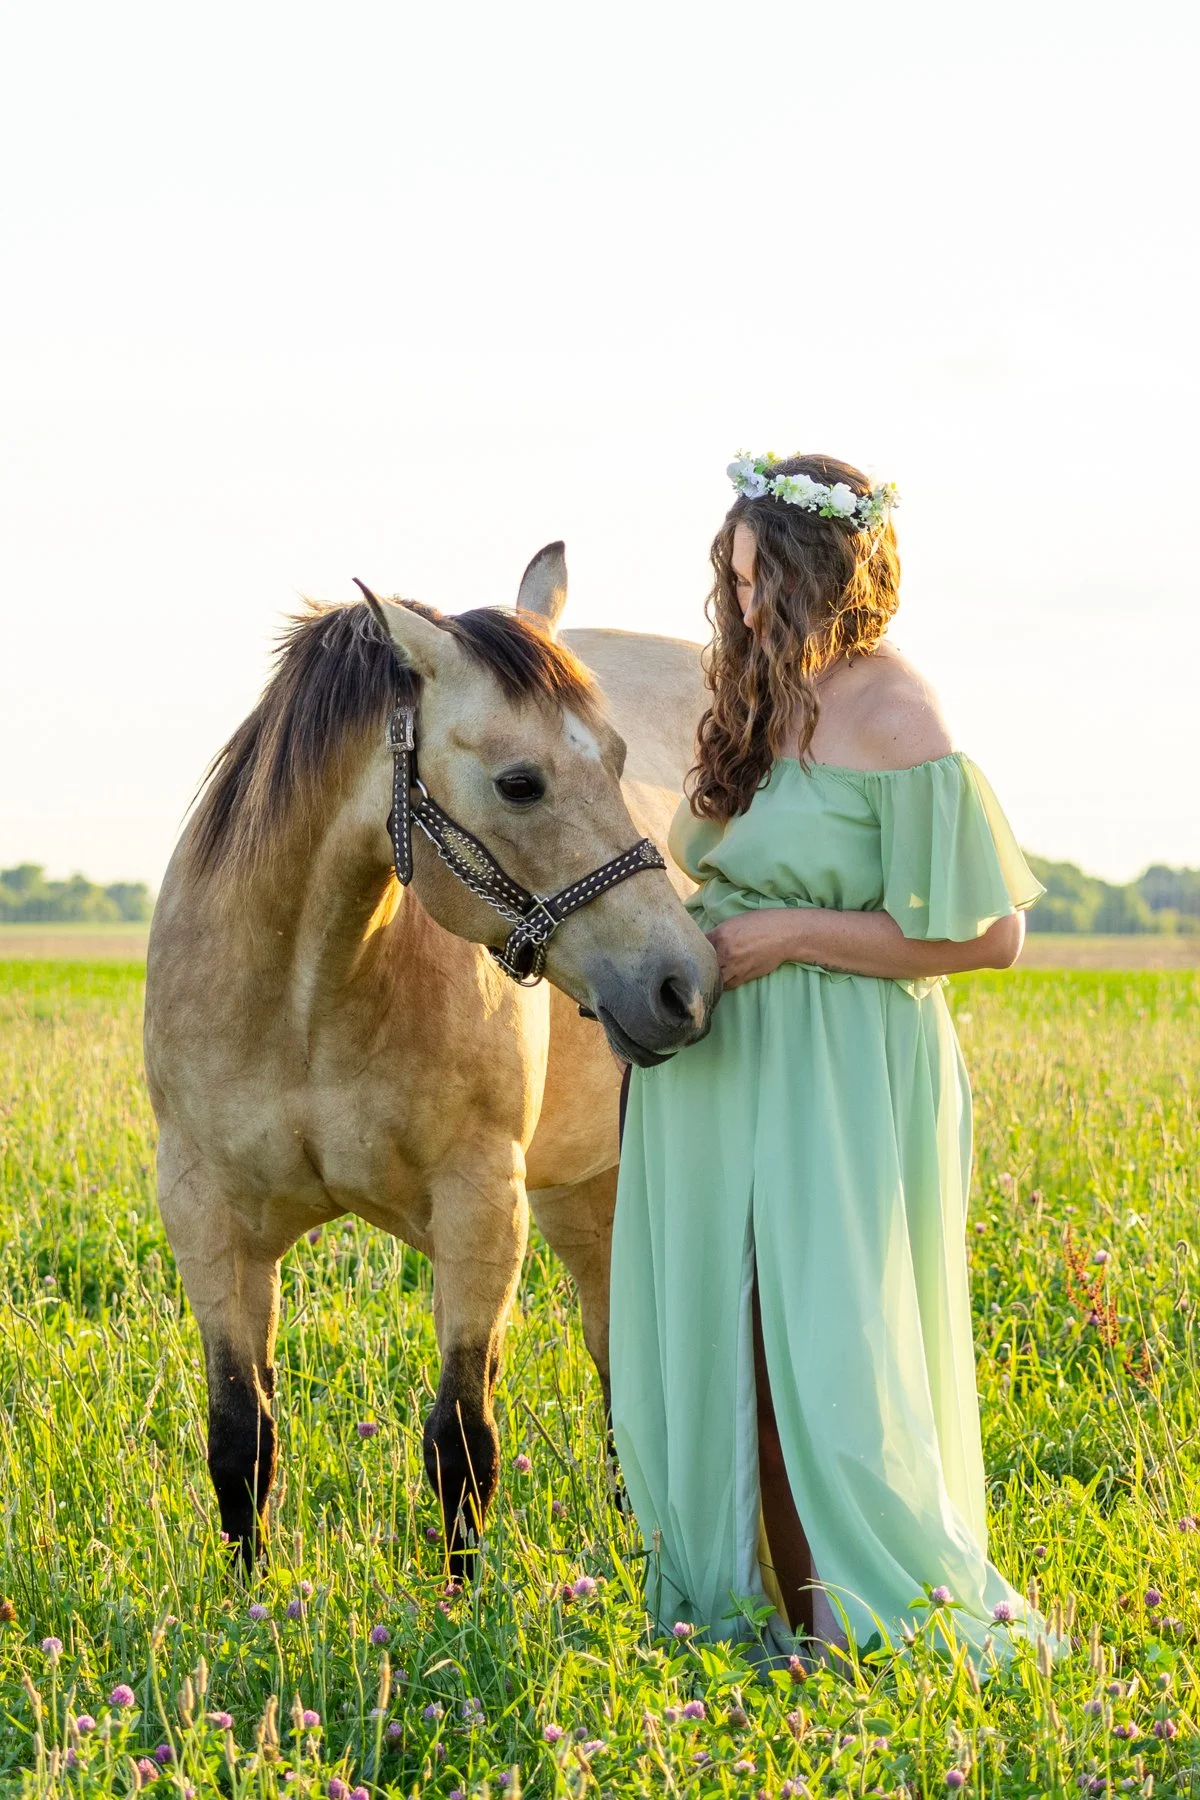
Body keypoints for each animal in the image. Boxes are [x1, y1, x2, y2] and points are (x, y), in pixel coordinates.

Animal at [143, 543, 718, 1576]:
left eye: (619, 762)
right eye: (520, 783)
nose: (682, 984)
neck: (309, 995)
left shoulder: (479, 1203)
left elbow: (461, 1438)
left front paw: (463, 1599)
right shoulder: (205, 1213)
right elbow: (241, 1437)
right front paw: (249, 1599)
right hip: (584, 1195)